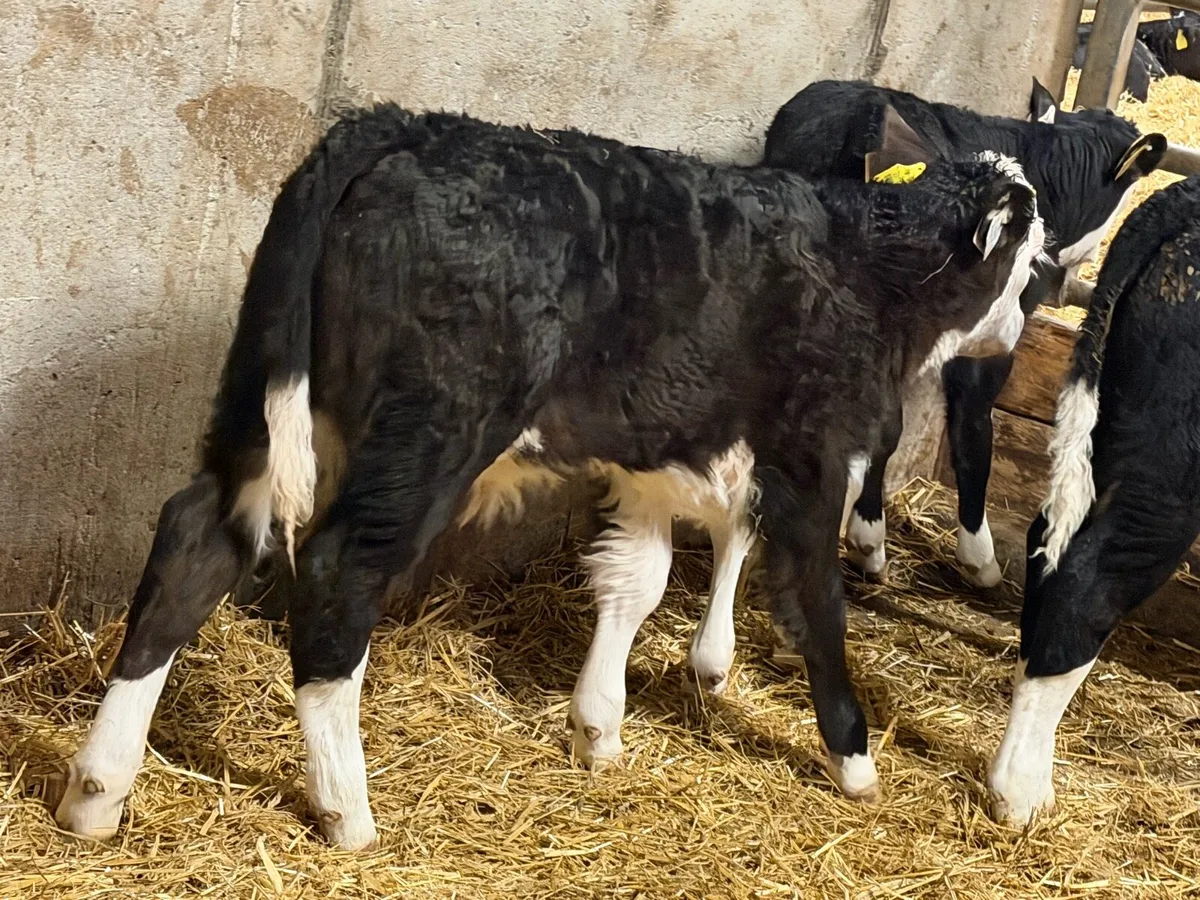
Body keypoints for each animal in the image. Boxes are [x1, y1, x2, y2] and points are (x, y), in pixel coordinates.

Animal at [53, 103, 1044, 850]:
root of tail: (397, 125)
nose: (1018, 332)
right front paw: (856, 761)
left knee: (196, 539)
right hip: (431, 431)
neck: (869, 265)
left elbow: (637, 582)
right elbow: (816, 607)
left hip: (265, 399)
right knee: (336, 572)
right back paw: (348, 811)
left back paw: (97, 792)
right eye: (1029, 261)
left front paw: (598, 728)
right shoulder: (810, 457)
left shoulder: (661, 450)